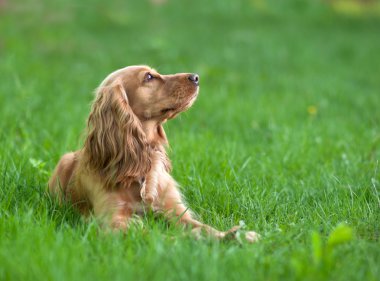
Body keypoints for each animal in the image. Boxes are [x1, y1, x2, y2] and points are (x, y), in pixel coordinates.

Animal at [49, 64, 260, 242]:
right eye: (149, 77)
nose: (196, 77)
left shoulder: (176, 211)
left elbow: (204, 227)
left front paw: (236, 235)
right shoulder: (112, 222)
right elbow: (157, 236)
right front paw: (195, 240)